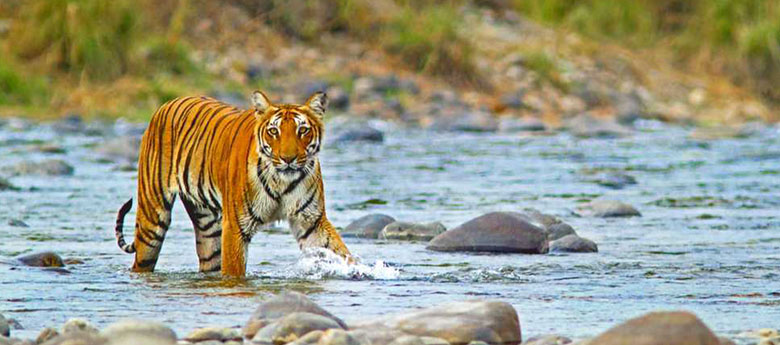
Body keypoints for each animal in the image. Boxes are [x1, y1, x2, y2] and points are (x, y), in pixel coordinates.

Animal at [111, 90, 352, 276]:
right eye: (274, 131)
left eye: (303, 130)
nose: (288, 159)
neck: (282, 181)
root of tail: (166, 103)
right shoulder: (236, 226)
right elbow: (234, 271)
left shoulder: (311, 221)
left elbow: (340, 252)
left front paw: (357, 271)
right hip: (152, 218)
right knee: (142, 259)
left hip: (208, 228)